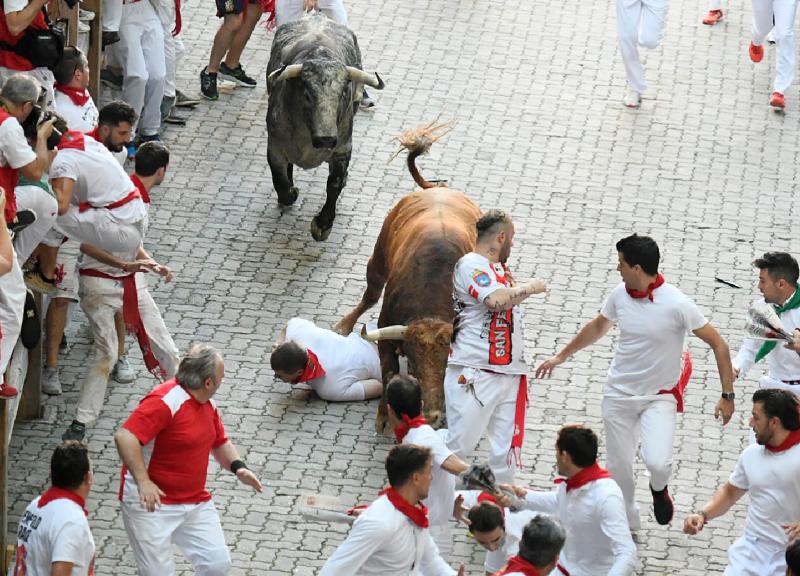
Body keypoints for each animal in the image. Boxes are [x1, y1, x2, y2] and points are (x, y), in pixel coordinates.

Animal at [266, 13, 384, 240]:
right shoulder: (275, 146)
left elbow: (334, 184)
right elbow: (281, 181)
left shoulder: (343, 149)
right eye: (307, 94)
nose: (326, 138)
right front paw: (292, 191)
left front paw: (322, 224)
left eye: (343, 93)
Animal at [332, 124, 478, 434]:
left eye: (447, 366)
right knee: (370, 293)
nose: (433, 415)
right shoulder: (386, 333)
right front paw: (384, 417)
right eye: (411, 363)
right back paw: (344, 325)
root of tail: (438, 189)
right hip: (378, 259)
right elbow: (388, 372)